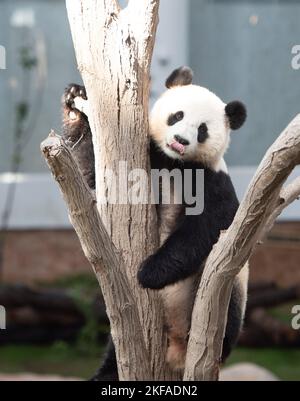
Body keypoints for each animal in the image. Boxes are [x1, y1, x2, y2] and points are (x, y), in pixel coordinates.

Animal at [61, 65, 248, 378]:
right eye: (177, 115)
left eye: (202, 130)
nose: (180, 141)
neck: (175, 163)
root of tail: (176, 349)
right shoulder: (150, 159)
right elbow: (94, 176)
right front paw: (75, 102)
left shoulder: (211, 179)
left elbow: (211, 223)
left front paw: (148, 273)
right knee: (116, 347)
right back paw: (106, 373)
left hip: (222, 288)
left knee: (224, 305)